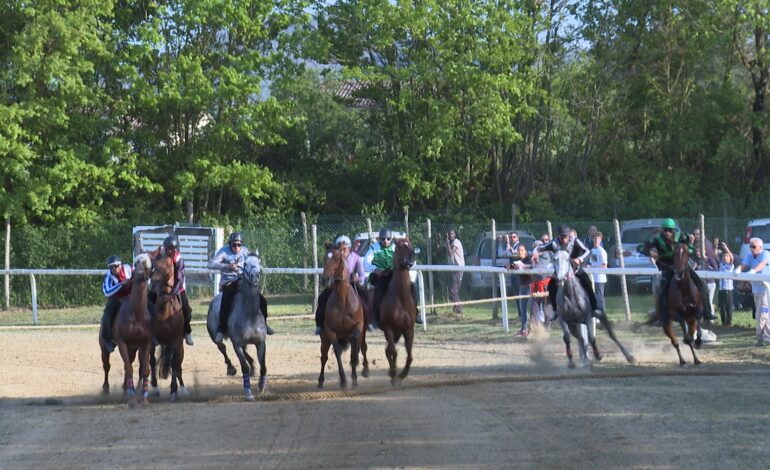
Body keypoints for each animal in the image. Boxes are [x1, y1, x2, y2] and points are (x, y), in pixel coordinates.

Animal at [101, 253, 154, 404]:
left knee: (129, 364)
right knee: (107, 366)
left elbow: (144, 369)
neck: (136, 313)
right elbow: (128, 369)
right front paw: (132, 398)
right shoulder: (122, 343)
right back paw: (106, 390)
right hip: (104, 347)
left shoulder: (146, 343)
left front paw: (144, 397)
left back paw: (126, 388)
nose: (141, 273)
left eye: (148, 261)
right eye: (136, 262)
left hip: (133, 348)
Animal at [148, 252, 188, 402]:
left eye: (169, 265)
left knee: (177, 364)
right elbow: (152, 361)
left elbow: (174, 365)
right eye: (154, 264)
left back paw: (183, 388)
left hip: (178, 345)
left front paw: (174, 391)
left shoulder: (175, 341)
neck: (165, 311)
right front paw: (154, 387)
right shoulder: (151, 340)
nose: (153, 280)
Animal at [207, 253, 268, 400]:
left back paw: (252, 366)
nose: (255, 276)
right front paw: (248, 392)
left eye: (258, 262)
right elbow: (243, 366)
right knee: (222, 347)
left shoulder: (260, 342)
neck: (250, 315)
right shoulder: (237, 344)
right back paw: (231, 368)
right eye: (245, 263)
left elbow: (263, 364)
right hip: (215, 337)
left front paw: (261, 385)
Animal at [316, 248, 368, 388]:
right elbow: (338, 352)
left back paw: (364, 370)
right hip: (324, 338)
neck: (343, 301)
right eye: (324, 257)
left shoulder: (358, 327)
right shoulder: (330, 331)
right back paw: (321, 381)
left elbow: (355, 351)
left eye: (336, 258)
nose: (326, 278)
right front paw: (344, 380)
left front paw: (354, 378)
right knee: (324, 357)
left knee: (362, 347)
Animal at [376, 239, 416, 386]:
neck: (400, 297)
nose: (411, 258)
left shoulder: (408, 329)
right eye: (399, 246)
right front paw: (394, 373)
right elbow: (393, 351)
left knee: (388, 350)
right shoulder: (388, 329)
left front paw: (403, 373)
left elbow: (409, 356)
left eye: (410, 244)